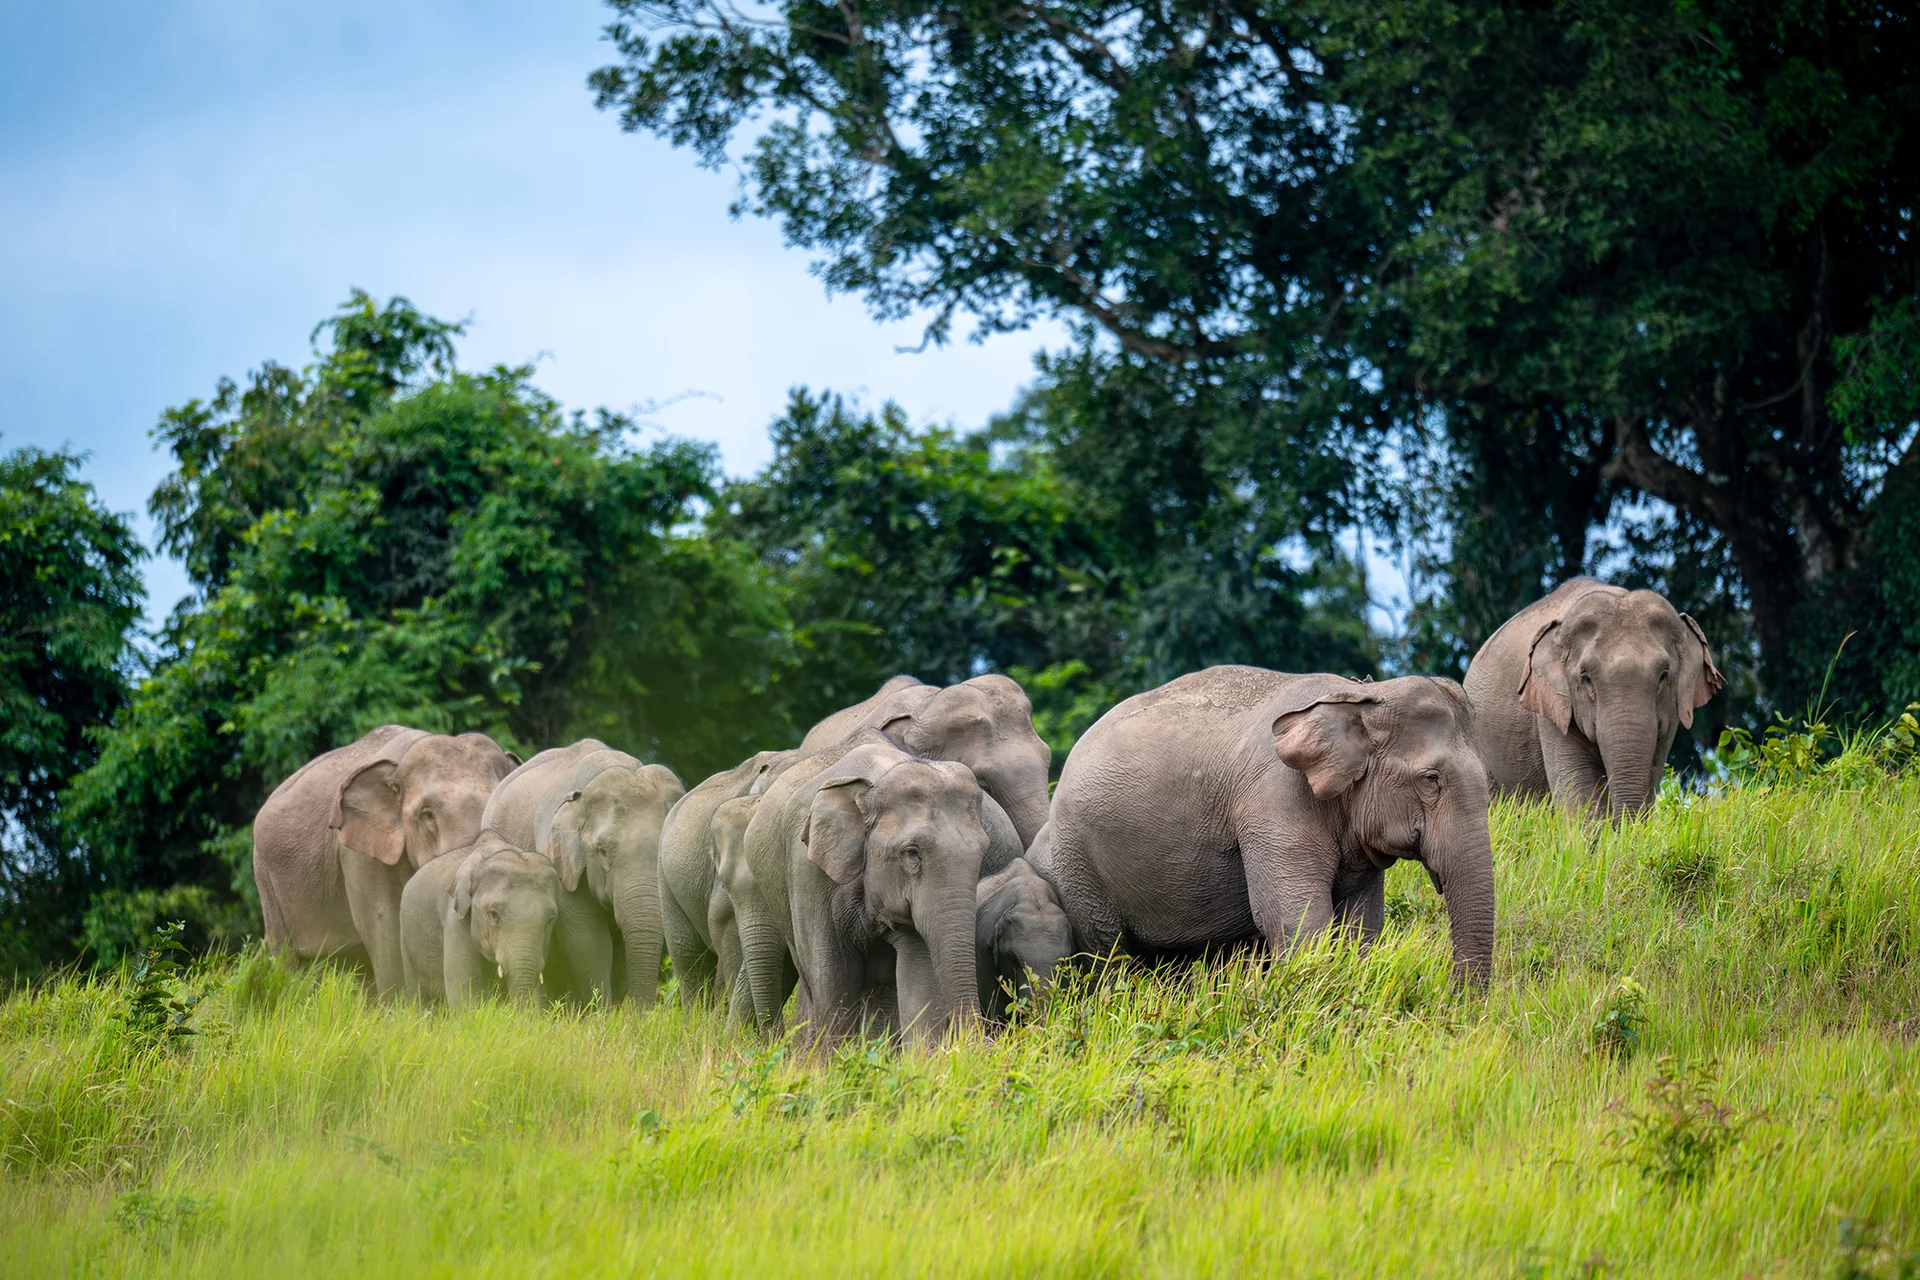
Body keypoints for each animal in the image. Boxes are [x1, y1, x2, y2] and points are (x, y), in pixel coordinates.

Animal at [736, 733, 991, 1048]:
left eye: (984, 851)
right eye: (912, 853)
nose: (979, 1043)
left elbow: (917, 975)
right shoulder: (807, 872)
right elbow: (835, 977)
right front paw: (831, 1059)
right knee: (811, 978)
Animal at [1046, 667, 1497, 985]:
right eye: (1431, 780)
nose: (1457, 1003)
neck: (1354, 698)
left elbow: (1361, 924)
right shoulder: (1275, 801)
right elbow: (1295, 918)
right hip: (1079, 866)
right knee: (1108, 952)